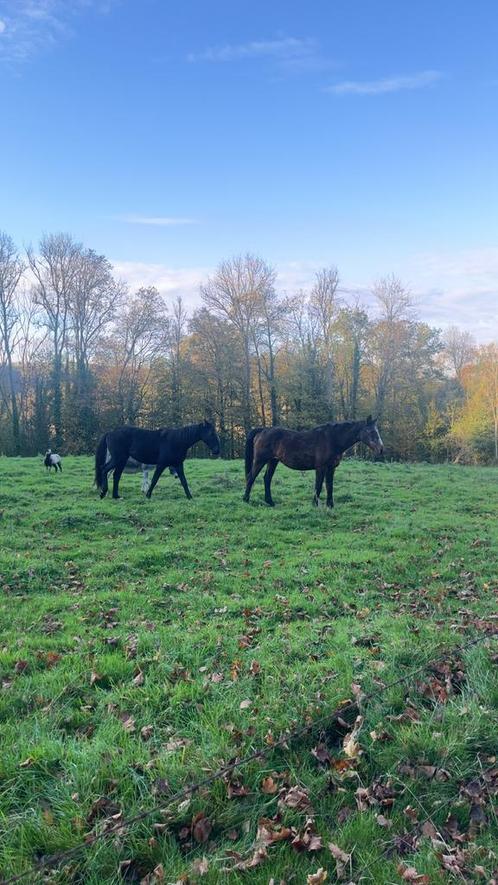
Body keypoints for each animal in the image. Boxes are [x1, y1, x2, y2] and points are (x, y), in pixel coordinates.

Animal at [243, 418, 384, 508]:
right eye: (371, 432)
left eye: (377, 431)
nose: (381, 449)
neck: (332, 440)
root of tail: (263, 430)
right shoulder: (320, 467)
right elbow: (319, 486)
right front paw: (315, 504)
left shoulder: (331, 468)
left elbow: (329, 486)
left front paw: (330, 505)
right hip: (260, 460)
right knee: (251, 477)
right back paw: (246, 500)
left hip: (273, 461)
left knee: (267, 479)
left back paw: (270, 502)